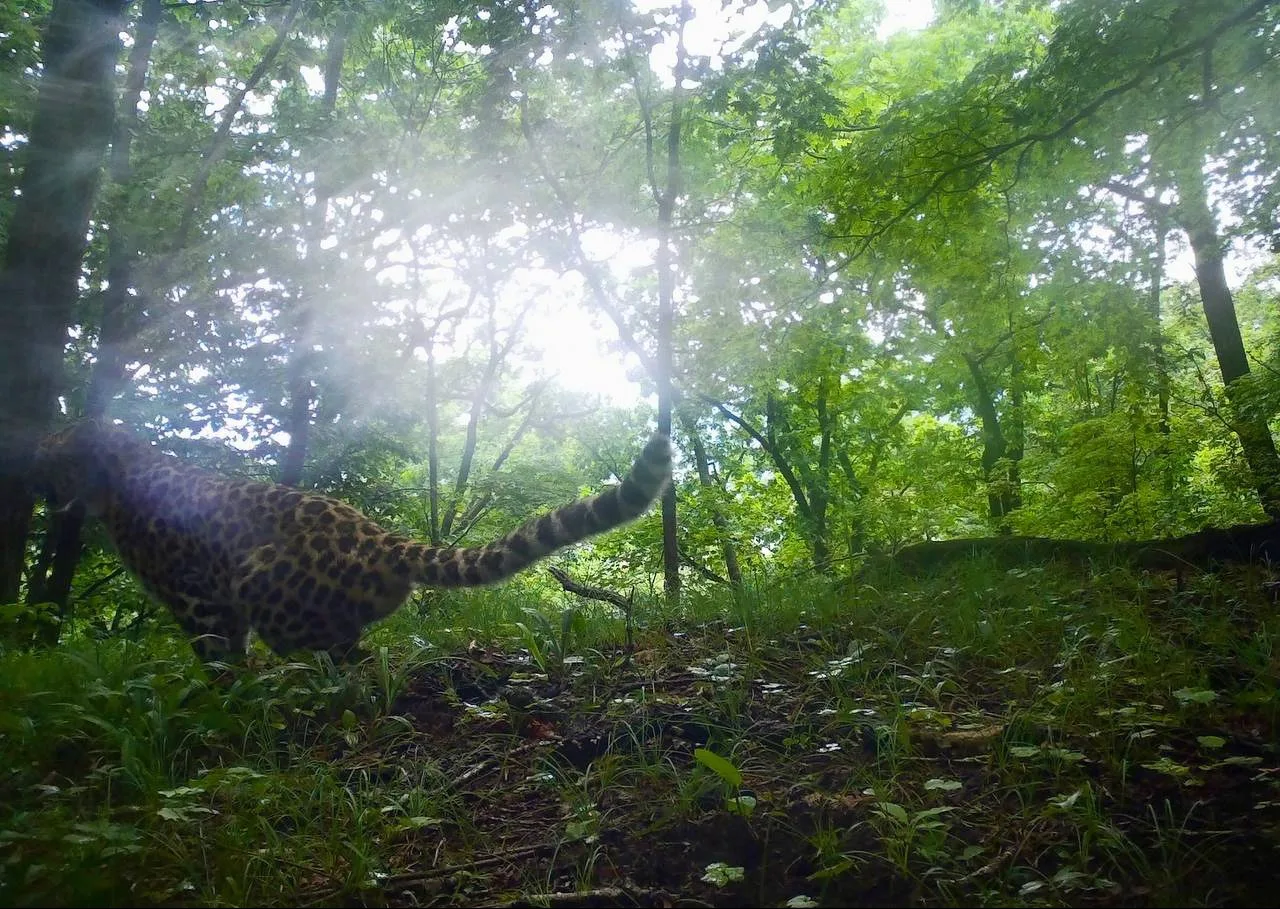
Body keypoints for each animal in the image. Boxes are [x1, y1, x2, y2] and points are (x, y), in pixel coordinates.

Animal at [31, 420, 672, 663]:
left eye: (56, 458)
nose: (43, 492)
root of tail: (379, 538)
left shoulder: (199, 601)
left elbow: (217, 658)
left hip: (264, 585)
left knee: (346, 659)